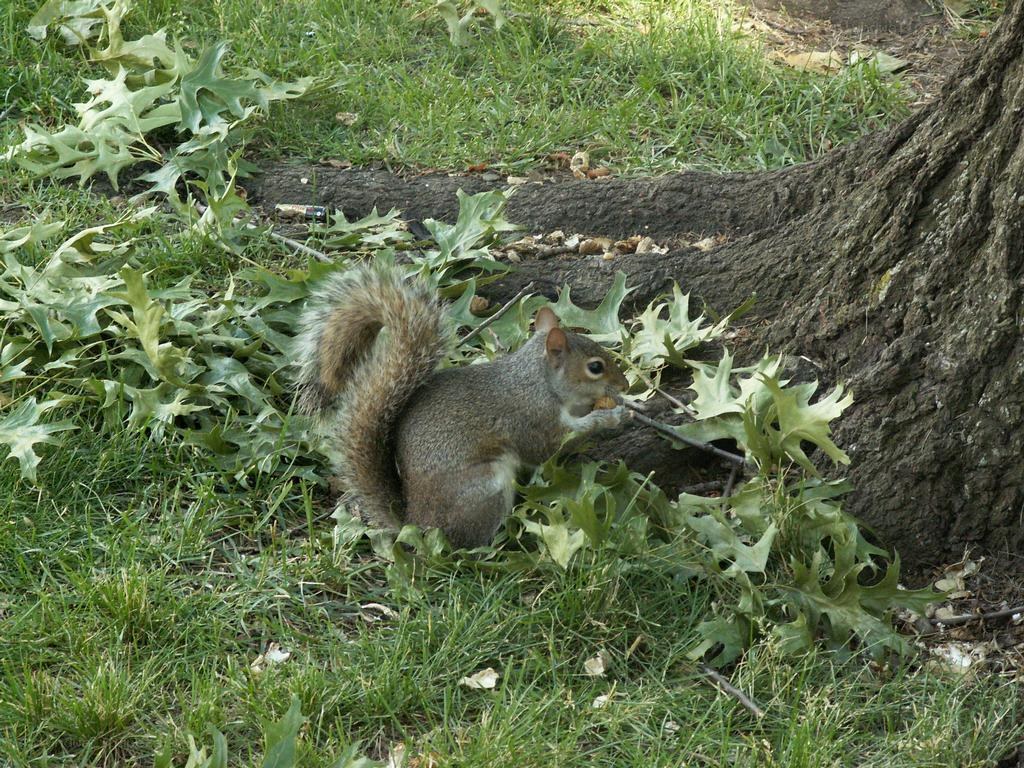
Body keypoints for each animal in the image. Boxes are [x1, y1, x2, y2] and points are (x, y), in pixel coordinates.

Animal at [295, 264, 630, 548]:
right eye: (595, 367)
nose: (625, 385)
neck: (539, 381)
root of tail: (417, 526)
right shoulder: (532, 420)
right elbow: (549, 447)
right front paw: (610, 416)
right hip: (484, 490)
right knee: (468, 543)